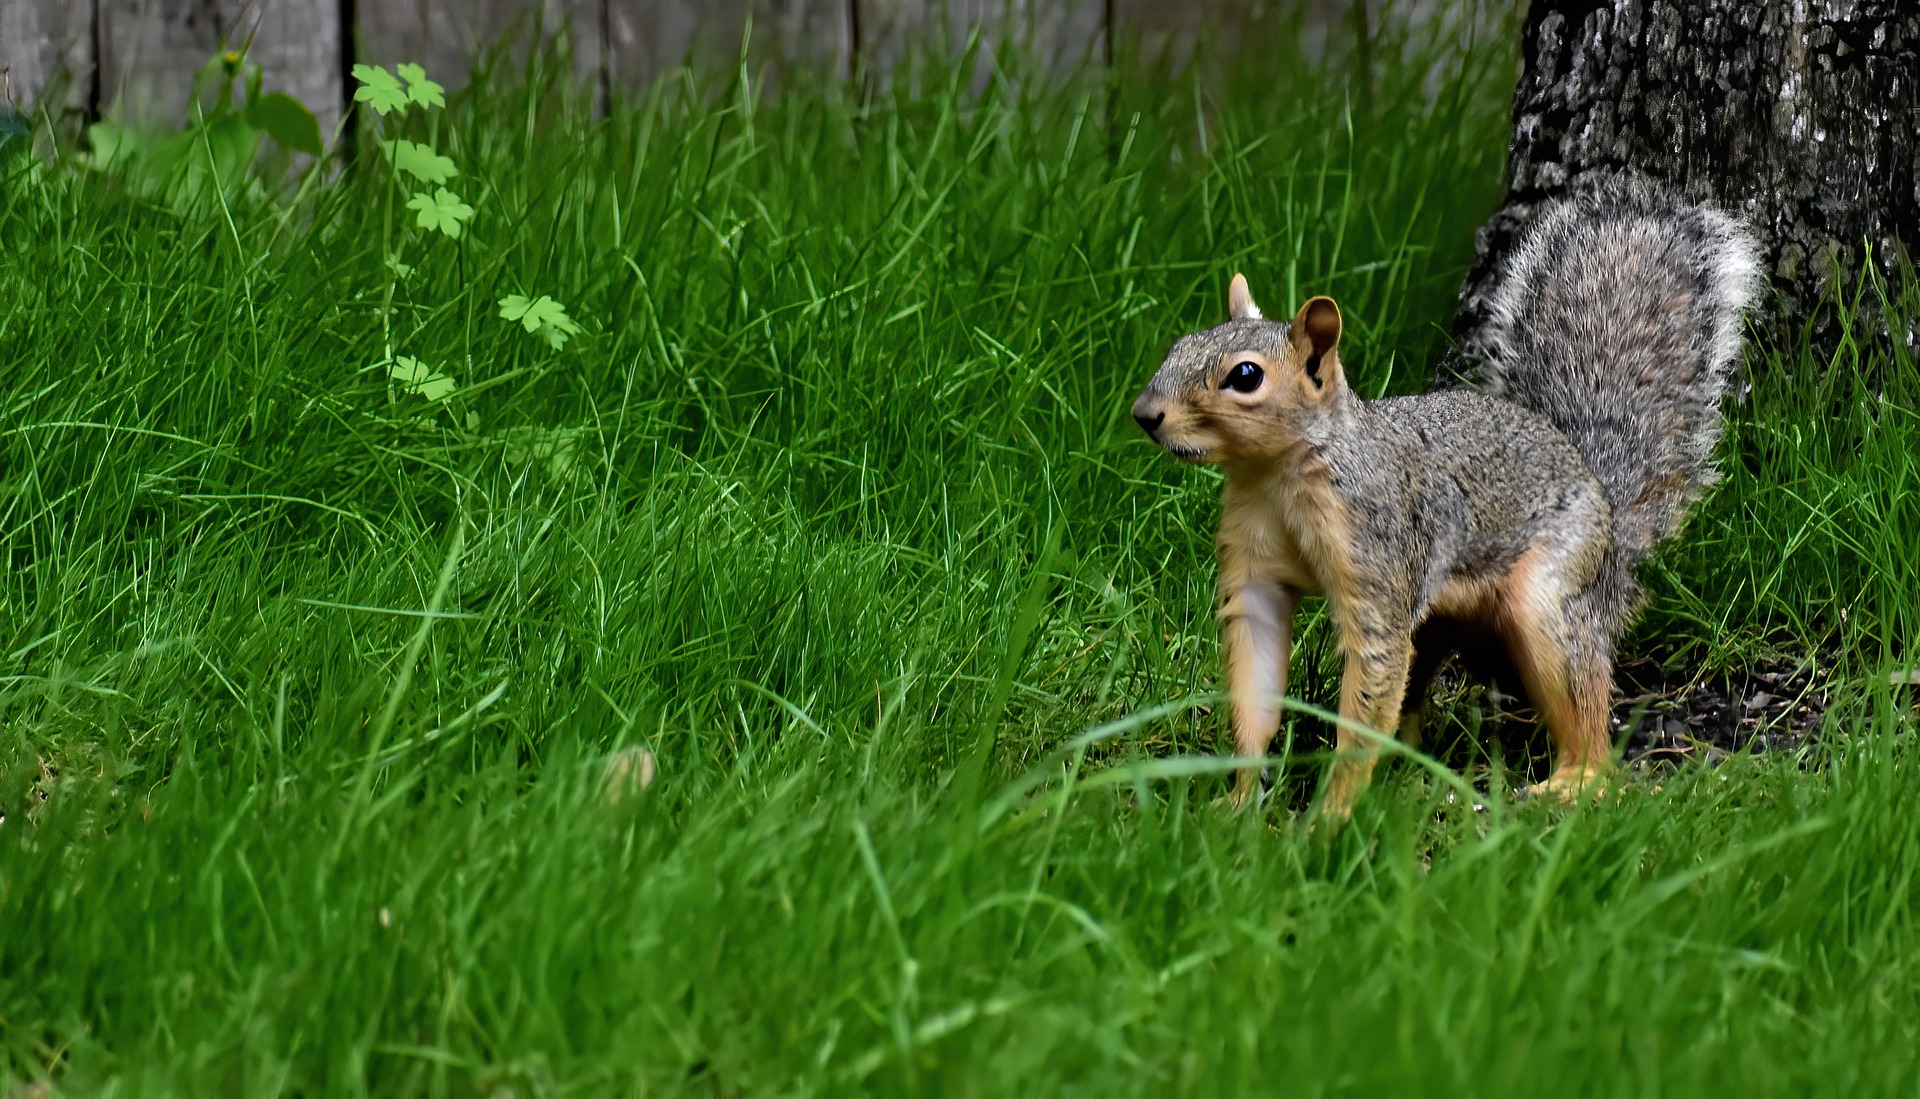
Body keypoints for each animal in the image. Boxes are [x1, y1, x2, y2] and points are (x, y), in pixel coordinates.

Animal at [1128, 177, 1758, 814]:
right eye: (1179, 345)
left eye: (1246, 376)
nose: (1144, 414)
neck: (1275, 477)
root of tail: (1601, 497)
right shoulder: (1254, 567)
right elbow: (1256, 679)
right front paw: (1237, 800)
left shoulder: (1377, 555)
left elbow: (1371, 680)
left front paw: (1331, 815)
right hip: (1444, 616)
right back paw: (1410, 771)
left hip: (1552, 584)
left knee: (1583, 697)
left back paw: (1573, 780)